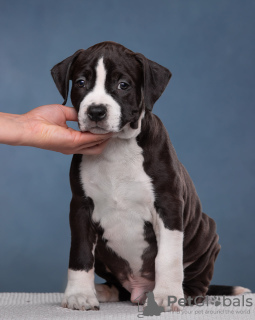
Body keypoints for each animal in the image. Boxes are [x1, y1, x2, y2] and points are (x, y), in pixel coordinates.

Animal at [50, 41, 250, 312]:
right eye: (81, 82)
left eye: (123, 85)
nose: (96, 111)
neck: (116, 147)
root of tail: (138, 289)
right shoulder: (81, 207)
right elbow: (80, 253)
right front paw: (80, 295)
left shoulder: (168, 206)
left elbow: (167, 257)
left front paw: (167, 295)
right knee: (119, 286)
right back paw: (103, 290)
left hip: (207, 235)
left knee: (199, 283)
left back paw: (183, 293)